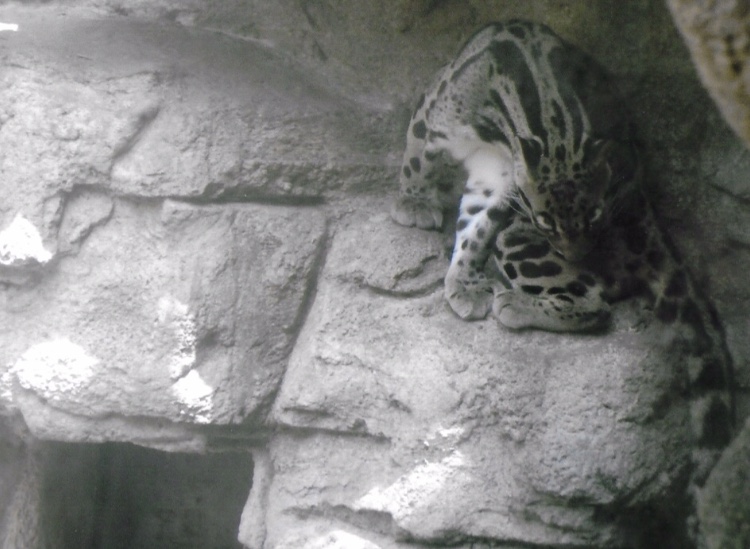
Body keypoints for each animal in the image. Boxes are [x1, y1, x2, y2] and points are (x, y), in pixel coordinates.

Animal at [390, 19, 734, 544]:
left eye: (593, 216)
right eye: (548, 222)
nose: (574, 252)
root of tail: (647, 222)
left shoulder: (502, 186)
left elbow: (479, 226)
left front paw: (460, 269)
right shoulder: (439, 116)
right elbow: (419, 159)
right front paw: (416, 206)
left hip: (521, 240)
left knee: (594, 304)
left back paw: (517, 305)